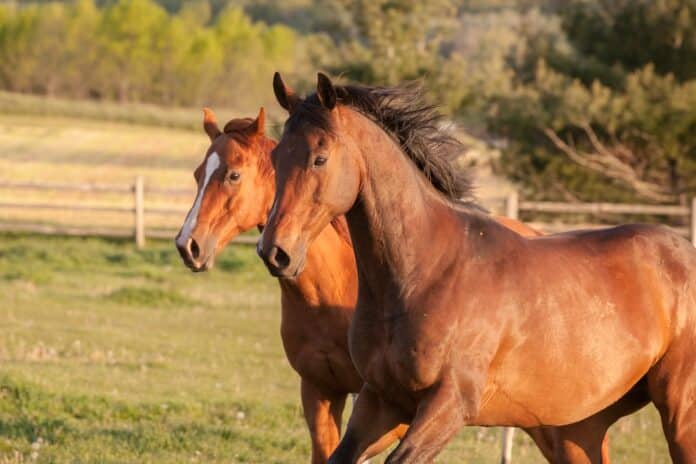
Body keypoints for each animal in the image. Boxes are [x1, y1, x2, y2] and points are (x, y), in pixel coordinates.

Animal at [173, 108, 613, 462]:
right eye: (197, 174)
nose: (187, 245)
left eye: (233, 175)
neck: (331, 292)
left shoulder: (398, 408)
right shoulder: (320, 390)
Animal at [259, 72, 696, 463]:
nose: (274, 252)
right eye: (276, 157)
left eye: (320, 158)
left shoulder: (449, 405)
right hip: (580, 429)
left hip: (679, 414)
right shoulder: (379, 400)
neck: (424, 274)